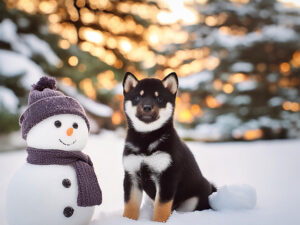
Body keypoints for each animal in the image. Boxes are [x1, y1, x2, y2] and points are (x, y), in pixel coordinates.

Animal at [122, 72, 216, 221]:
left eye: (159, 98)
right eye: (137, 97)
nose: (147, 107)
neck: (146, 139)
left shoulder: (167, 176)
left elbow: (161, 207)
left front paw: (158, 222)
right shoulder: (131, 175)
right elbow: (130, 204)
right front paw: (127, 220)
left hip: (193, 200)